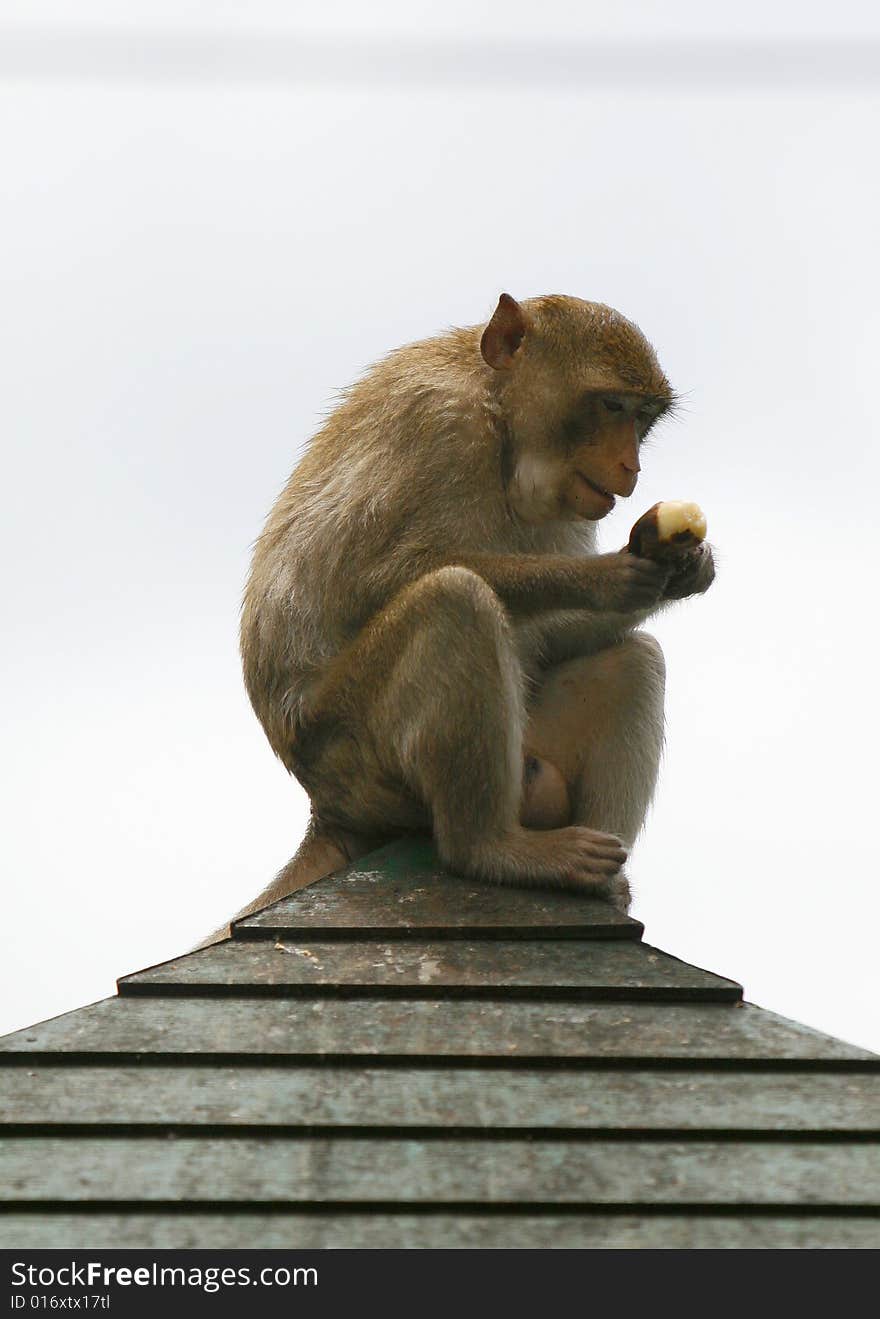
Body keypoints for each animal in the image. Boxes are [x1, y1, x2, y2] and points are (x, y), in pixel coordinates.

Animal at [216, 298, 712, 939]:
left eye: (643, 417)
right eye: (610, 407)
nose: (630, 465)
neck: (499, 421)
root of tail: (325, 808)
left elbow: (558, 638)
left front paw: (688, 568)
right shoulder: (438, 424)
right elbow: (377, 578)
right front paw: (604, 576)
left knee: (634, 659)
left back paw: (595, 884)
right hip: (355, 755)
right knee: (454, 600)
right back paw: (489, 850)